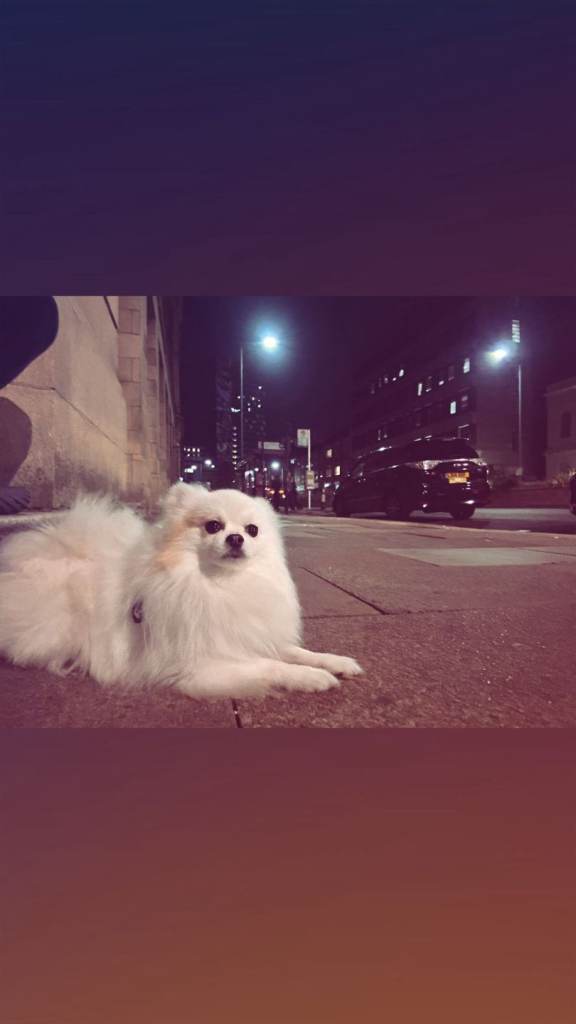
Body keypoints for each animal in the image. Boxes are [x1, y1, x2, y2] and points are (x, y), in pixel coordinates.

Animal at [0, 483, 363, 698]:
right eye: (213, 526)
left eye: (252, 530)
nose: (236, 538)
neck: (220, 586)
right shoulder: (199, 663)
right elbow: (269, 666)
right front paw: (311, 677)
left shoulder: (247, 633)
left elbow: (295, 651)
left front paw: (333, 662)